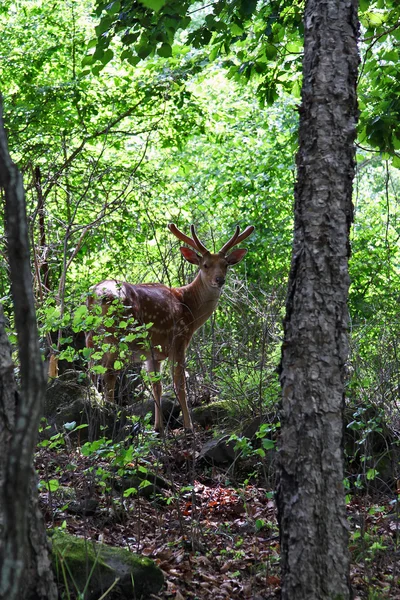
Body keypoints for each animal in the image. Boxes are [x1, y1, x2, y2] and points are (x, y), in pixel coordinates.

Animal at [85, 223, 255, 428]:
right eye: (205, 265)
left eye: (226, 264)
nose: (219, 280)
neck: (190, 309)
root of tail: (96, 294)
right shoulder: (179, 340)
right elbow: (179, 385)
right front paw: (189, 425)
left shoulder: (153, 354)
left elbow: (156, 386)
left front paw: (158, 427)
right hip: (117, 335)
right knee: (108, 374)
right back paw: (110, 413)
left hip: (91, 335)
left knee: (91, 369)